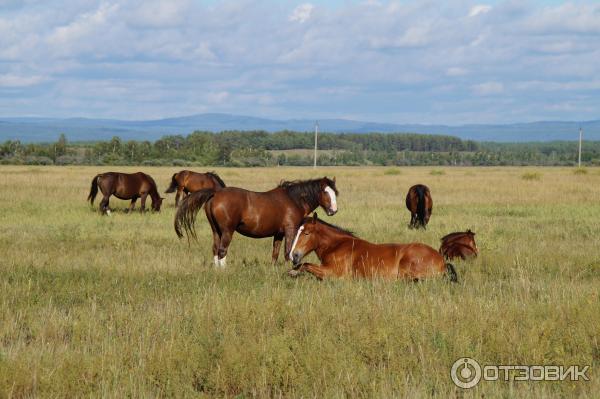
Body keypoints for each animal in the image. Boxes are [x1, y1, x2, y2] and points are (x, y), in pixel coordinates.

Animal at [176, 177, 340, 268]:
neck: (293, 200)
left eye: (335, 192)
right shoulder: (290, 230)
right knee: (222, 250)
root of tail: (215, 193)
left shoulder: (279, 234)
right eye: (325, 192)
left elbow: (275, 253)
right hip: (227, 231)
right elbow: (288, 252)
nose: (334, 210)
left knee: (215, 249)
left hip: (216, 231)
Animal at [288, 214, 458, 282]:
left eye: (307, 233)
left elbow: (307, 265)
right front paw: (294, 271)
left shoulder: (333, 273)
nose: (293, 255)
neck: (337, 246)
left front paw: (293, 272)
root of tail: (442, 261)